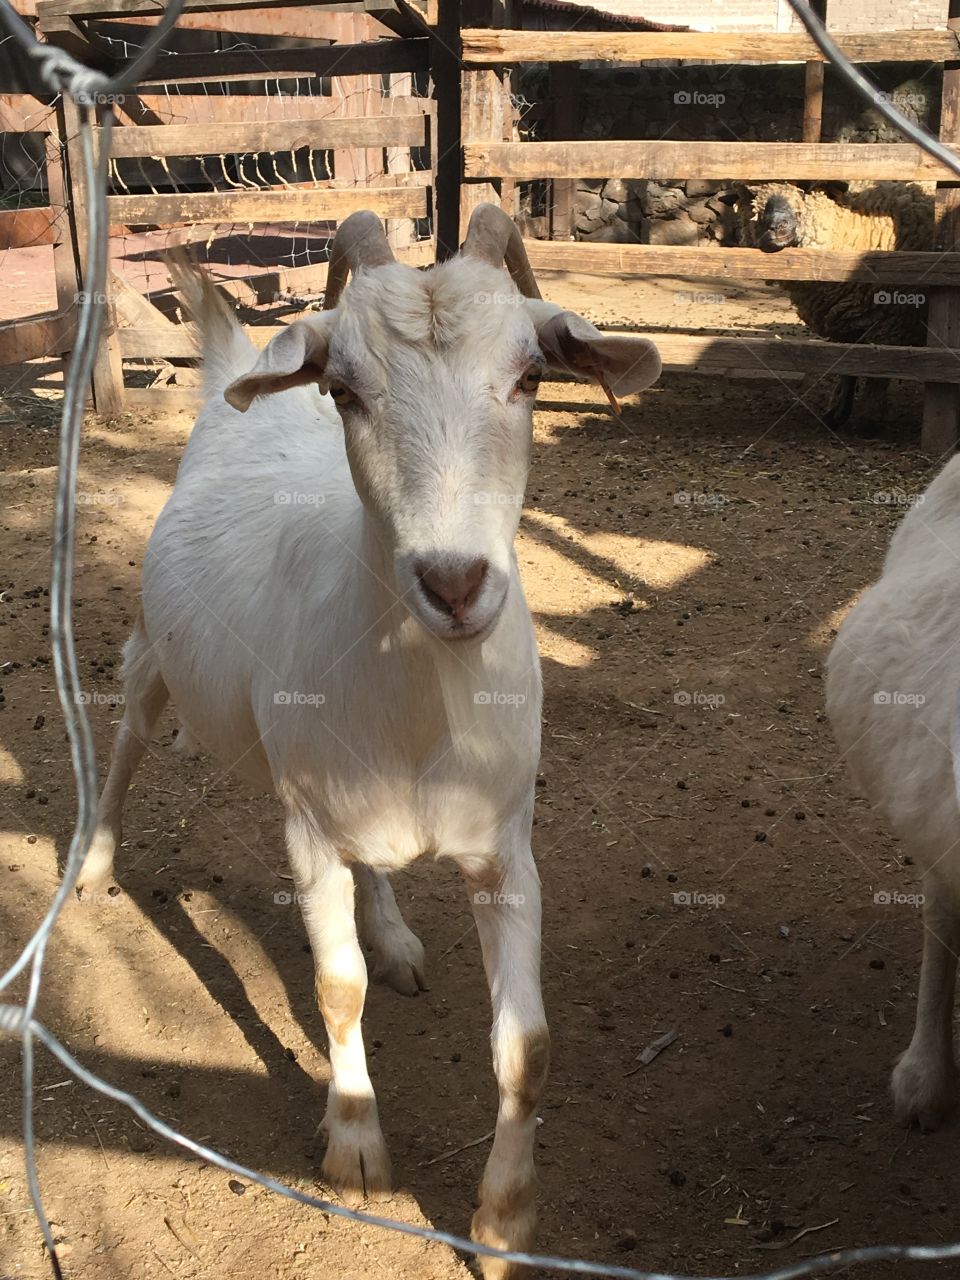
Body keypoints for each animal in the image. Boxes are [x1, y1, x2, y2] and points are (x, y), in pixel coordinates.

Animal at [76, 204, 662, 1274]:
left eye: (531, 376)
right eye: (345, 390)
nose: (455, 583)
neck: (424, 711)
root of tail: (237, 368)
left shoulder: (505, 845)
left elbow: (529, 1046)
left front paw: (503, 1225)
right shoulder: (307, 827)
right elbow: (335, 987)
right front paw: (354, 1148)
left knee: (373, 867)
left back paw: (392, 932)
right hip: (155, 649)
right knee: (130, 731)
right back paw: (95, 861)